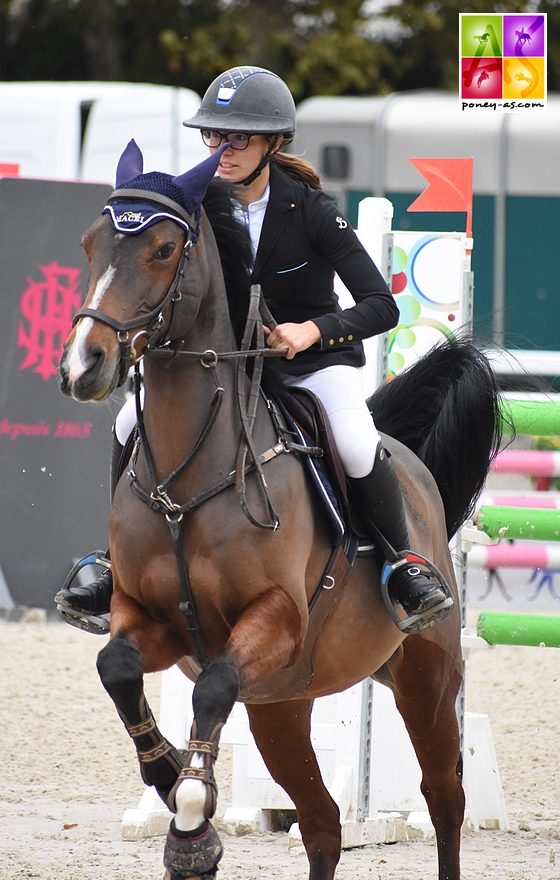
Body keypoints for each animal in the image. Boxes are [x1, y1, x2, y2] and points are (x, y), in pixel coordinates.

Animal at [59, 141, 500, 876]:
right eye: (91, 244)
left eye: (162, 248)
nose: (82, 367)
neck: (190, 476)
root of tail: (409, 459)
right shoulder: (150, 619)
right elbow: (117, 669)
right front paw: (172, 781)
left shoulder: (277, 621)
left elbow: (211, 688)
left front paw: (192, 812)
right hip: (281, 704)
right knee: (322, 823)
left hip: (428, 679)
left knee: (445, 800)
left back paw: (417, 587)